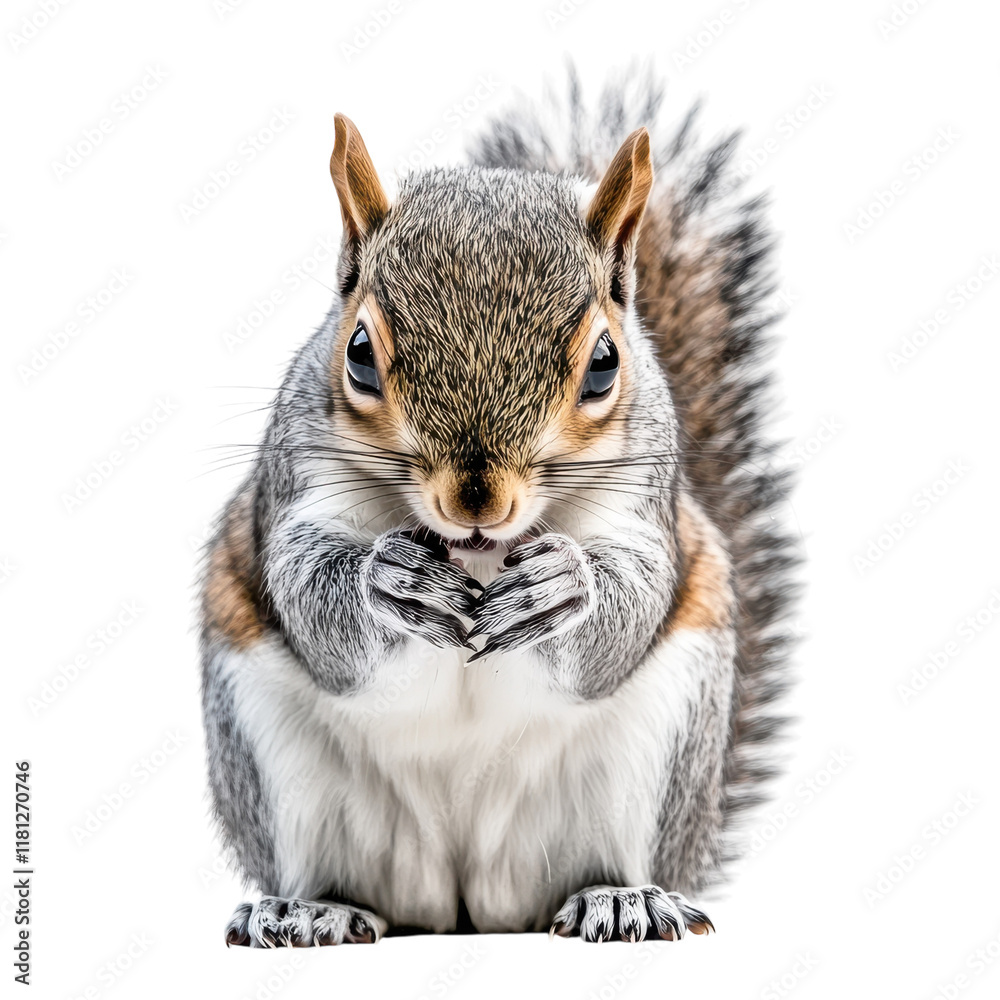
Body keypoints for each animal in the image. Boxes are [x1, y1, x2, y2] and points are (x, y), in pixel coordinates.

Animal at [200, 70, 796, 947]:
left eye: (605, 364)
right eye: (359, 354)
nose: (475, 499)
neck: (476, 553)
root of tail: (465, 906)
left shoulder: (646, 507)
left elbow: (628, 606)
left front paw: (563, 587)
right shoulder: (295, 483)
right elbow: (312, 599)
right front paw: (393, 582)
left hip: (658, 746)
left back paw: (623, 898)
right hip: (274, 755)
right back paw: (308, 907)